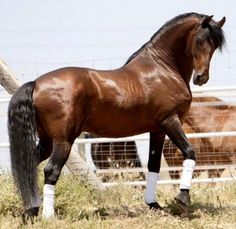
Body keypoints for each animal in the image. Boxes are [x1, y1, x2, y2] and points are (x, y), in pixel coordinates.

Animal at [6, 11, 225, 221]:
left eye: (215, 45)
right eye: (199, 40)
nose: (201, 78)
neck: (162, 68)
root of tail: (36, 83)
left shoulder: (157, 130)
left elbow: (153, 165)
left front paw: (153, 204)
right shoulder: (170, 121)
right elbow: (190, 152)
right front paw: (182, 199)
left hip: (47, 140)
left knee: (29, 165)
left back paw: (31, 211)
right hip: (63, 141)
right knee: (50, 170)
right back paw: (48, 216)